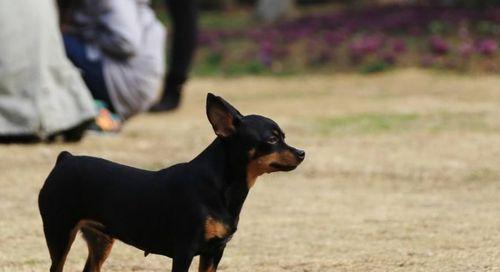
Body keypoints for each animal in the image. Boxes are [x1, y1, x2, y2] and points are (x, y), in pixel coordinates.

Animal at [39, 93, 304, 272]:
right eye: (272, 139)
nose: (302, 153)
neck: (222, 187)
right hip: (60, 234)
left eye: (284, 137)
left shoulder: (214, 252)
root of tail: (65, 159)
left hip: (101, 239)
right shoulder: (184, 251)